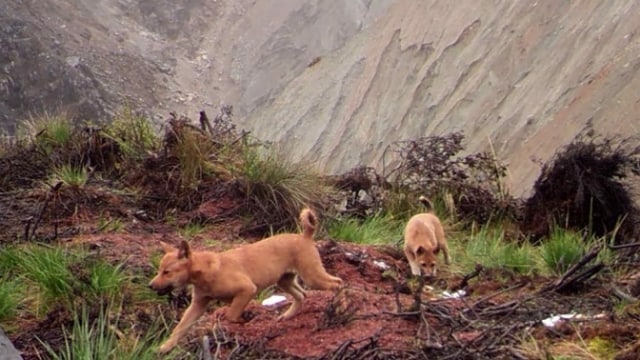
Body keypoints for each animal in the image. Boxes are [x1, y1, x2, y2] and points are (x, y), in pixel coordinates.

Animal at [148, 208, 342, 354]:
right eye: (159, 271)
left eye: (166, 272)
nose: (150, 285)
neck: (205, 271)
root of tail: (305, 235)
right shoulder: (198, 305)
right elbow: (180, 328)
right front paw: (165, 347)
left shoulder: (247, 289)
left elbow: (231, 314)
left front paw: (243, 320)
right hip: (284, 280)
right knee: (302, 295)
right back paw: (288, 315)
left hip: (312, 276)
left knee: (337, 283)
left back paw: (337, 307)